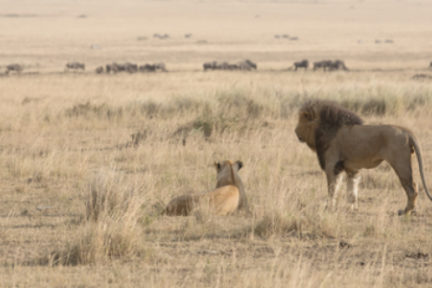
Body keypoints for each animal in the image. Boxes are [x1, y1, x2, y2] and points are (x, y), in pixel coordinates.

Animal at [294, 100, 432, 215]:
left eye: (301, 121)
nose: (295, 131)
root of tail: (407, 131)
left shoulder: (332, 164)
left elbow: (332, 188)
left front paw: (329, 207)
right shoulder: (351, 168)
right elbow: (352, 189)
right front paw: (351, 208)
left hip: (400, 164)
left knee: (412, 188)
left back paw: (405, 211)